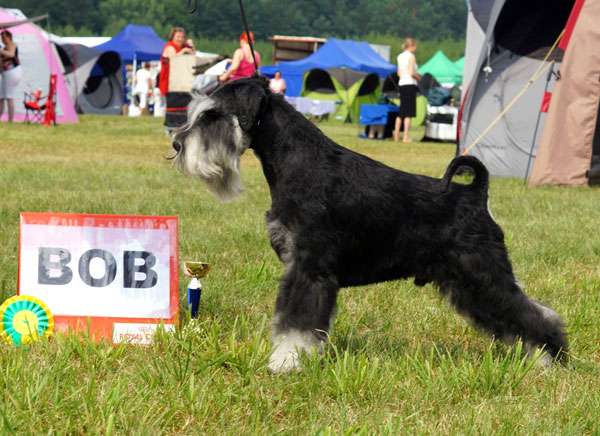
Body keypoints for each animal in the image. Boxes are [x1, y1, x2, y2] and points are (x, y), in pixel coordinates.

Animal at [172, 77, 568, 372]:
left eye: (212, 116)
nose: (176, 143)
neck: (297, 162)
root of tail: (476, 193)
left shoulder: (309, 269)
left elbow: (296, 323)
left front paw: (286, 362)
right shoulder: (300, 267)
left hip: (482, 273)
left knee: (534, 313)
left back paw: (549, 359)